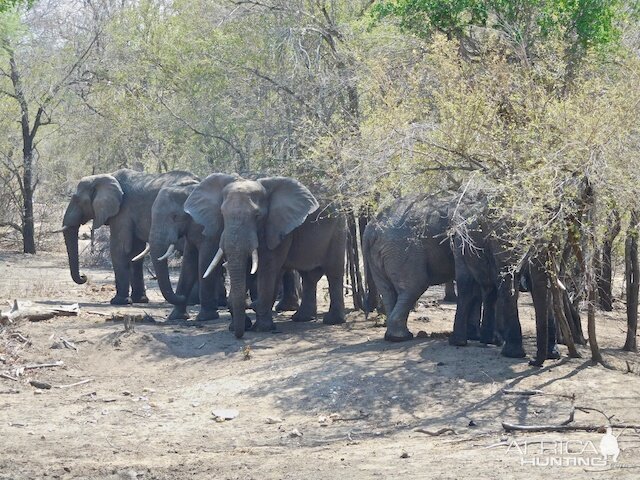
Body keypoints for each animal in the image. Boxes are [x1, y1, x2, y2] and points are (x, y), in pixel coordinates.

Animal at [62, 169, 199, 304]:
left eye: (77, 200)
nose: (84, 276)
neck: (106, 176)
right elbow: (135, 251)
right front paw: (140, 300)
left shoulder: (123, 211)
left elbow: (119, 249)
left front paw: (118, 301)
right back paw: (192, 301)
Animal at [182, 173, 348, 338]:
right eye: (222, 214)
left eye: (257, 216)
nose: (239, 335)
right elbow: (246, 269)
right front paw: (238, 326)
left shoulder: (277, 227)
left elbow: (267, 268)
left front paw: (261, 328)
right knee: (308, 276)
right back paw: (302, 318)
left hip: (338, 228)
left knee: (333, 271)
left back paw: (332, 321)